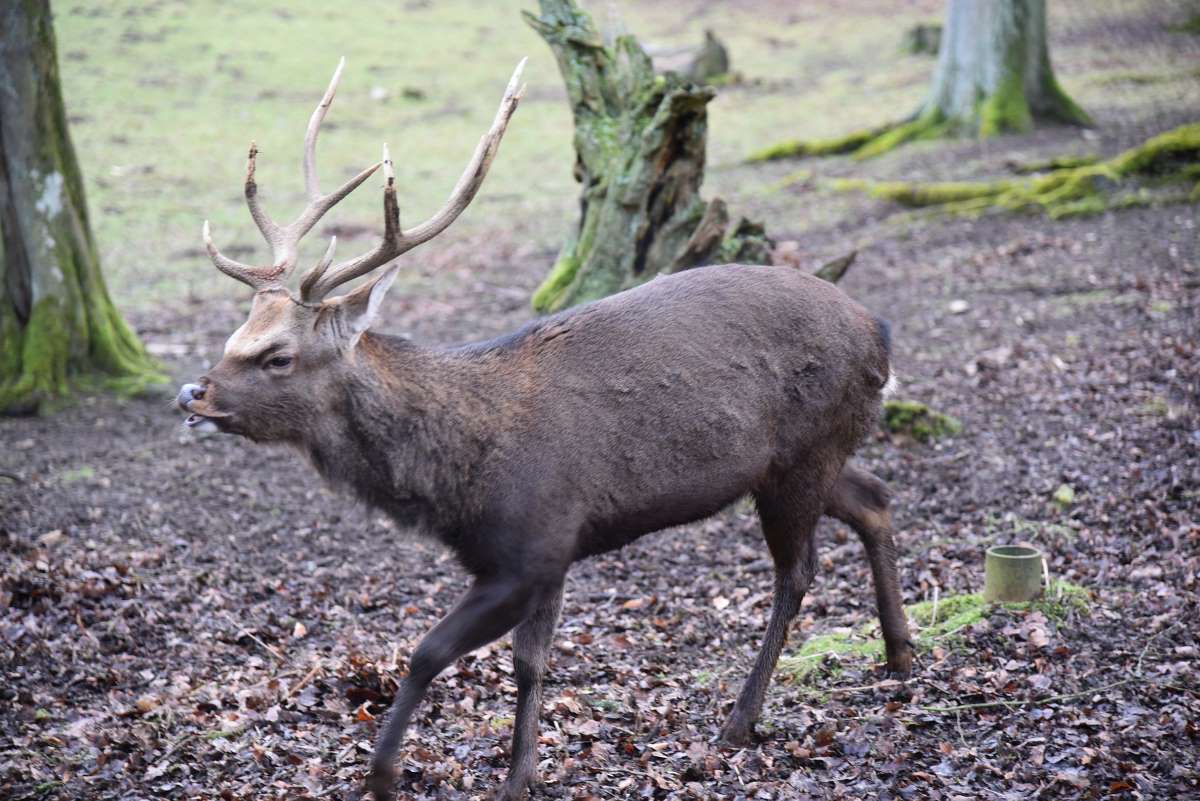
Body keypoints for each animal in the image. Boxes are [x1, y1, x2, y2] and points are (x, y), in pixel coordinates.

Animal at [175, 57, 907, 801]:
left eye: (277, 355)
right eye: (235, 333)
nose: (191, 392)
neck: (459, 479)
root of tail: (879, 332)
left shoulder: (532, 546)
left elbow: (427, 652)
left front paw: (386, 774)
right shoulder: (542, 558)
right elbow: (530, 664)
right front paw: (521, 773)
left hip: (803, 453)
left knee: (798, 569)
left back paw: (739, 719)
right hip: (806, 455)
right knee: (873, 497)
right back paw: (900, 655)